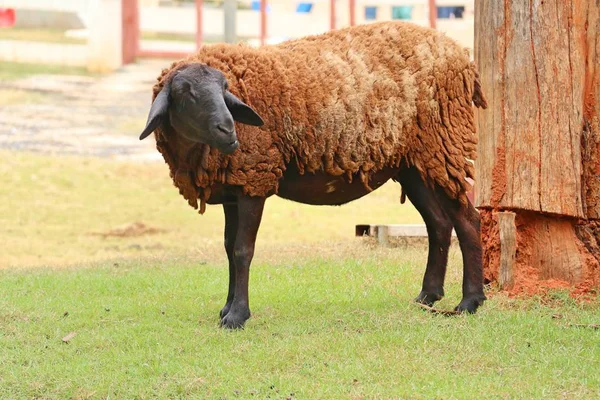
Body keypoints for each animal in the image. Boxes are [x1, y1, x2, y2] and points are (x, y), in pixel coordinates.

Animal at [141, 20, 488, 330]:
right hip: (416, 164)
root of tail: (463, 56)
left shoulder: (255, 180)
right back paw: (427, 296)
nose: (228, 130)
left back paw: (470, 302)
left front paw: (237, 316)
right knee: (439, 224)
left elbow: (242, 250)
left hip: (442, 145)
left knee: (468, 220)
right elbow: (228, 248)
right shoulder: (233, 187)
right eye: (185, 92)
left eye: (225, 90)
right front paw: (226, 308)